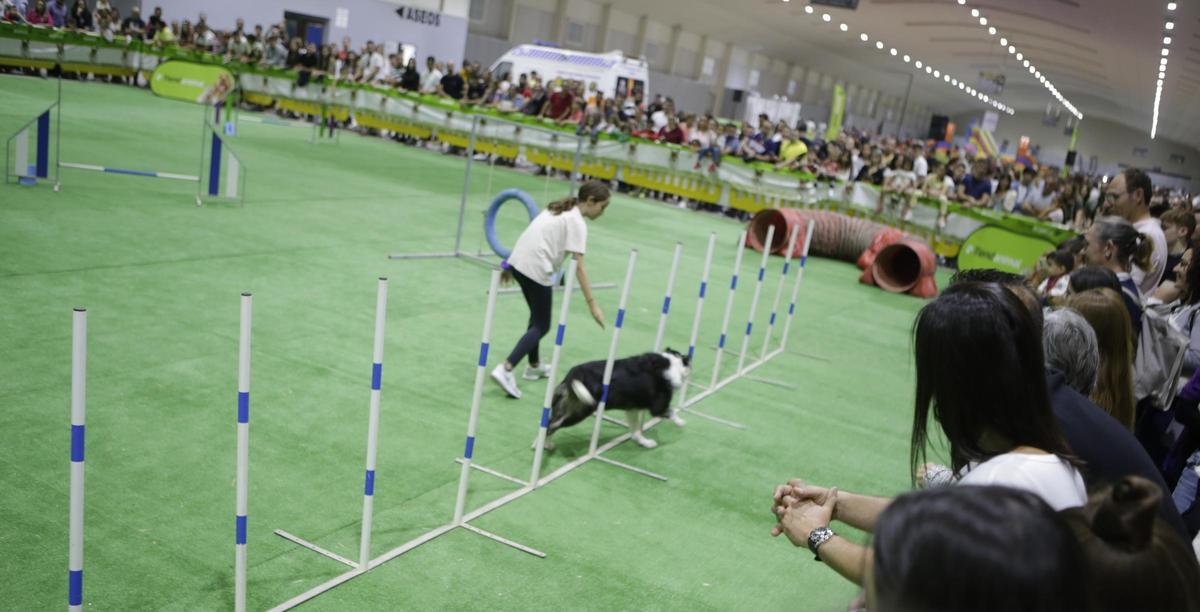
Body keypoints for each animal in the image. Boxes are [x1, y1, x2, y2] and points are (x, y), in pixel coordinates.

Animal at [547, 348, 691, 448]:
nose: (689, 360)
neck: (671, 364)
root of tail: (575, 373)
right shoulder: (658, 407)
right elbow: (671, 411)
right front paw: (681, 422)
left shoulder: (632, 409)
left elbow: (635, 430)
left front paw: (644, 442)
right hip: (580, 410)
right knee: (553, 425)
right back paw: (546, 445)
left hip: (564, 406)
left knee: (549, 422)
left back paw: (546, 445)